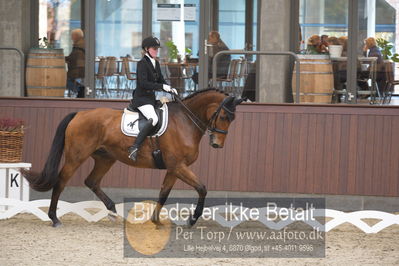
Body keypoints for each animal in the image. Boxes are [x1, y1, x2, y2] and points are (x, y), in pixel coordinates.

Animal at [25, 89, 244, 227]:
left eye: (233, 119)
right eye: (224, 117)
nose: (217, 144)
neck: (185, 121)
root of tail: (79, 113)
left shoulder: (174, 168)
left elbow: (164, 193)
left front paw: (156, 220)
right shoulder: (178, 166)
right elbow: (202, 188)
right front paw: (192, 219)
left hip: (105, 158)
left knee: (92, 181)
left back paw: (113, 211)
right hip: (76, 157)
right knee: (61, 181)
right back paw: (54, 218)